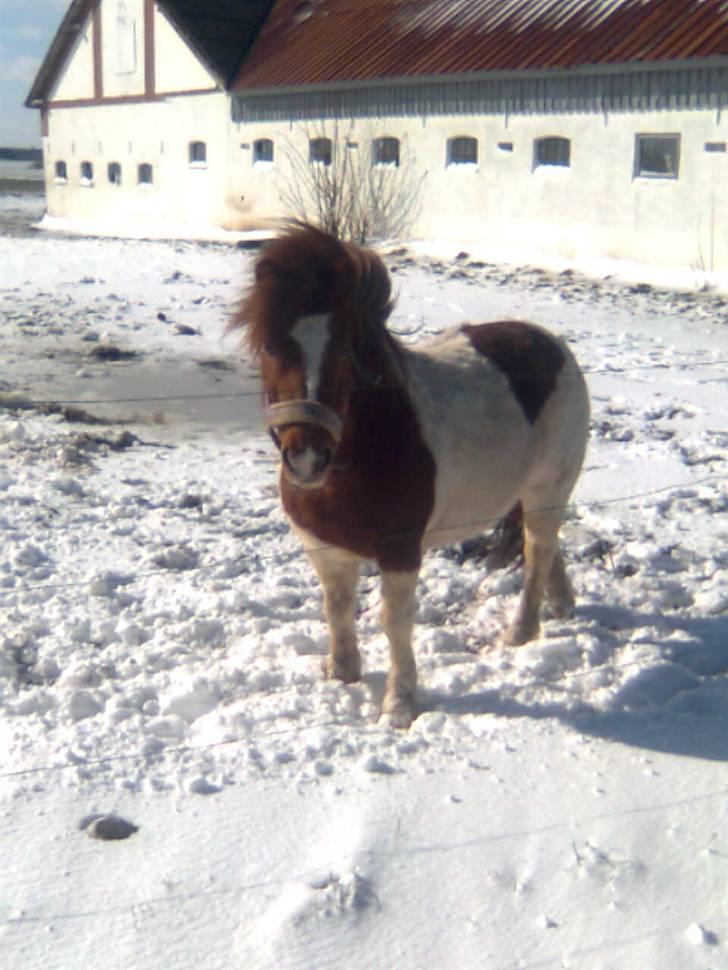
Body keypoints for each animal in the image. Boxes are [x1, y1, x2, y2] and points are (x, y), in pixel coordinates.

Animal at [230, 225, 588, 728]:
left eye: (345, 350)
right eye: (269, 347)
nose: (307, 459)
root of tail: (550, 343)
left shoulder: (399, 553)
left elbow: (394, 622)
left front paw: (398, 704)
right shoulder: (323, 548)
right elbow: (336, 607)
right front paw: (342, 673)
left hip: (547, 489)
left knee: (538, 550)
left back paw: (521, 631)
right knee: (549, 547)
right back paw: (561, 604)